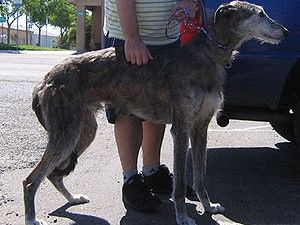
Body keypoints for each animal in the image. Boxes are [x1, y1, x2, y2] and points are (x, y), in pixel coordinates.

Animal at [24, 1, 288, 225]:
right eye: (260, 13)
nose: (286, 31)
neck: (208, 53)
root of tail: (44, 81)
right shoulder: (181, 129)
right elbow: (180, 184)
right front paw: (182, 217)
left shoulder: (200, 127)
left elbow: (200, 177)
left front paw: (209, 206)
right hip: (67, 132)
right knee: (31, 180)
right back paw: (31, 218)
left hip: (84, 130)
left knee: (53, 174)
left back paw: (72, 199)